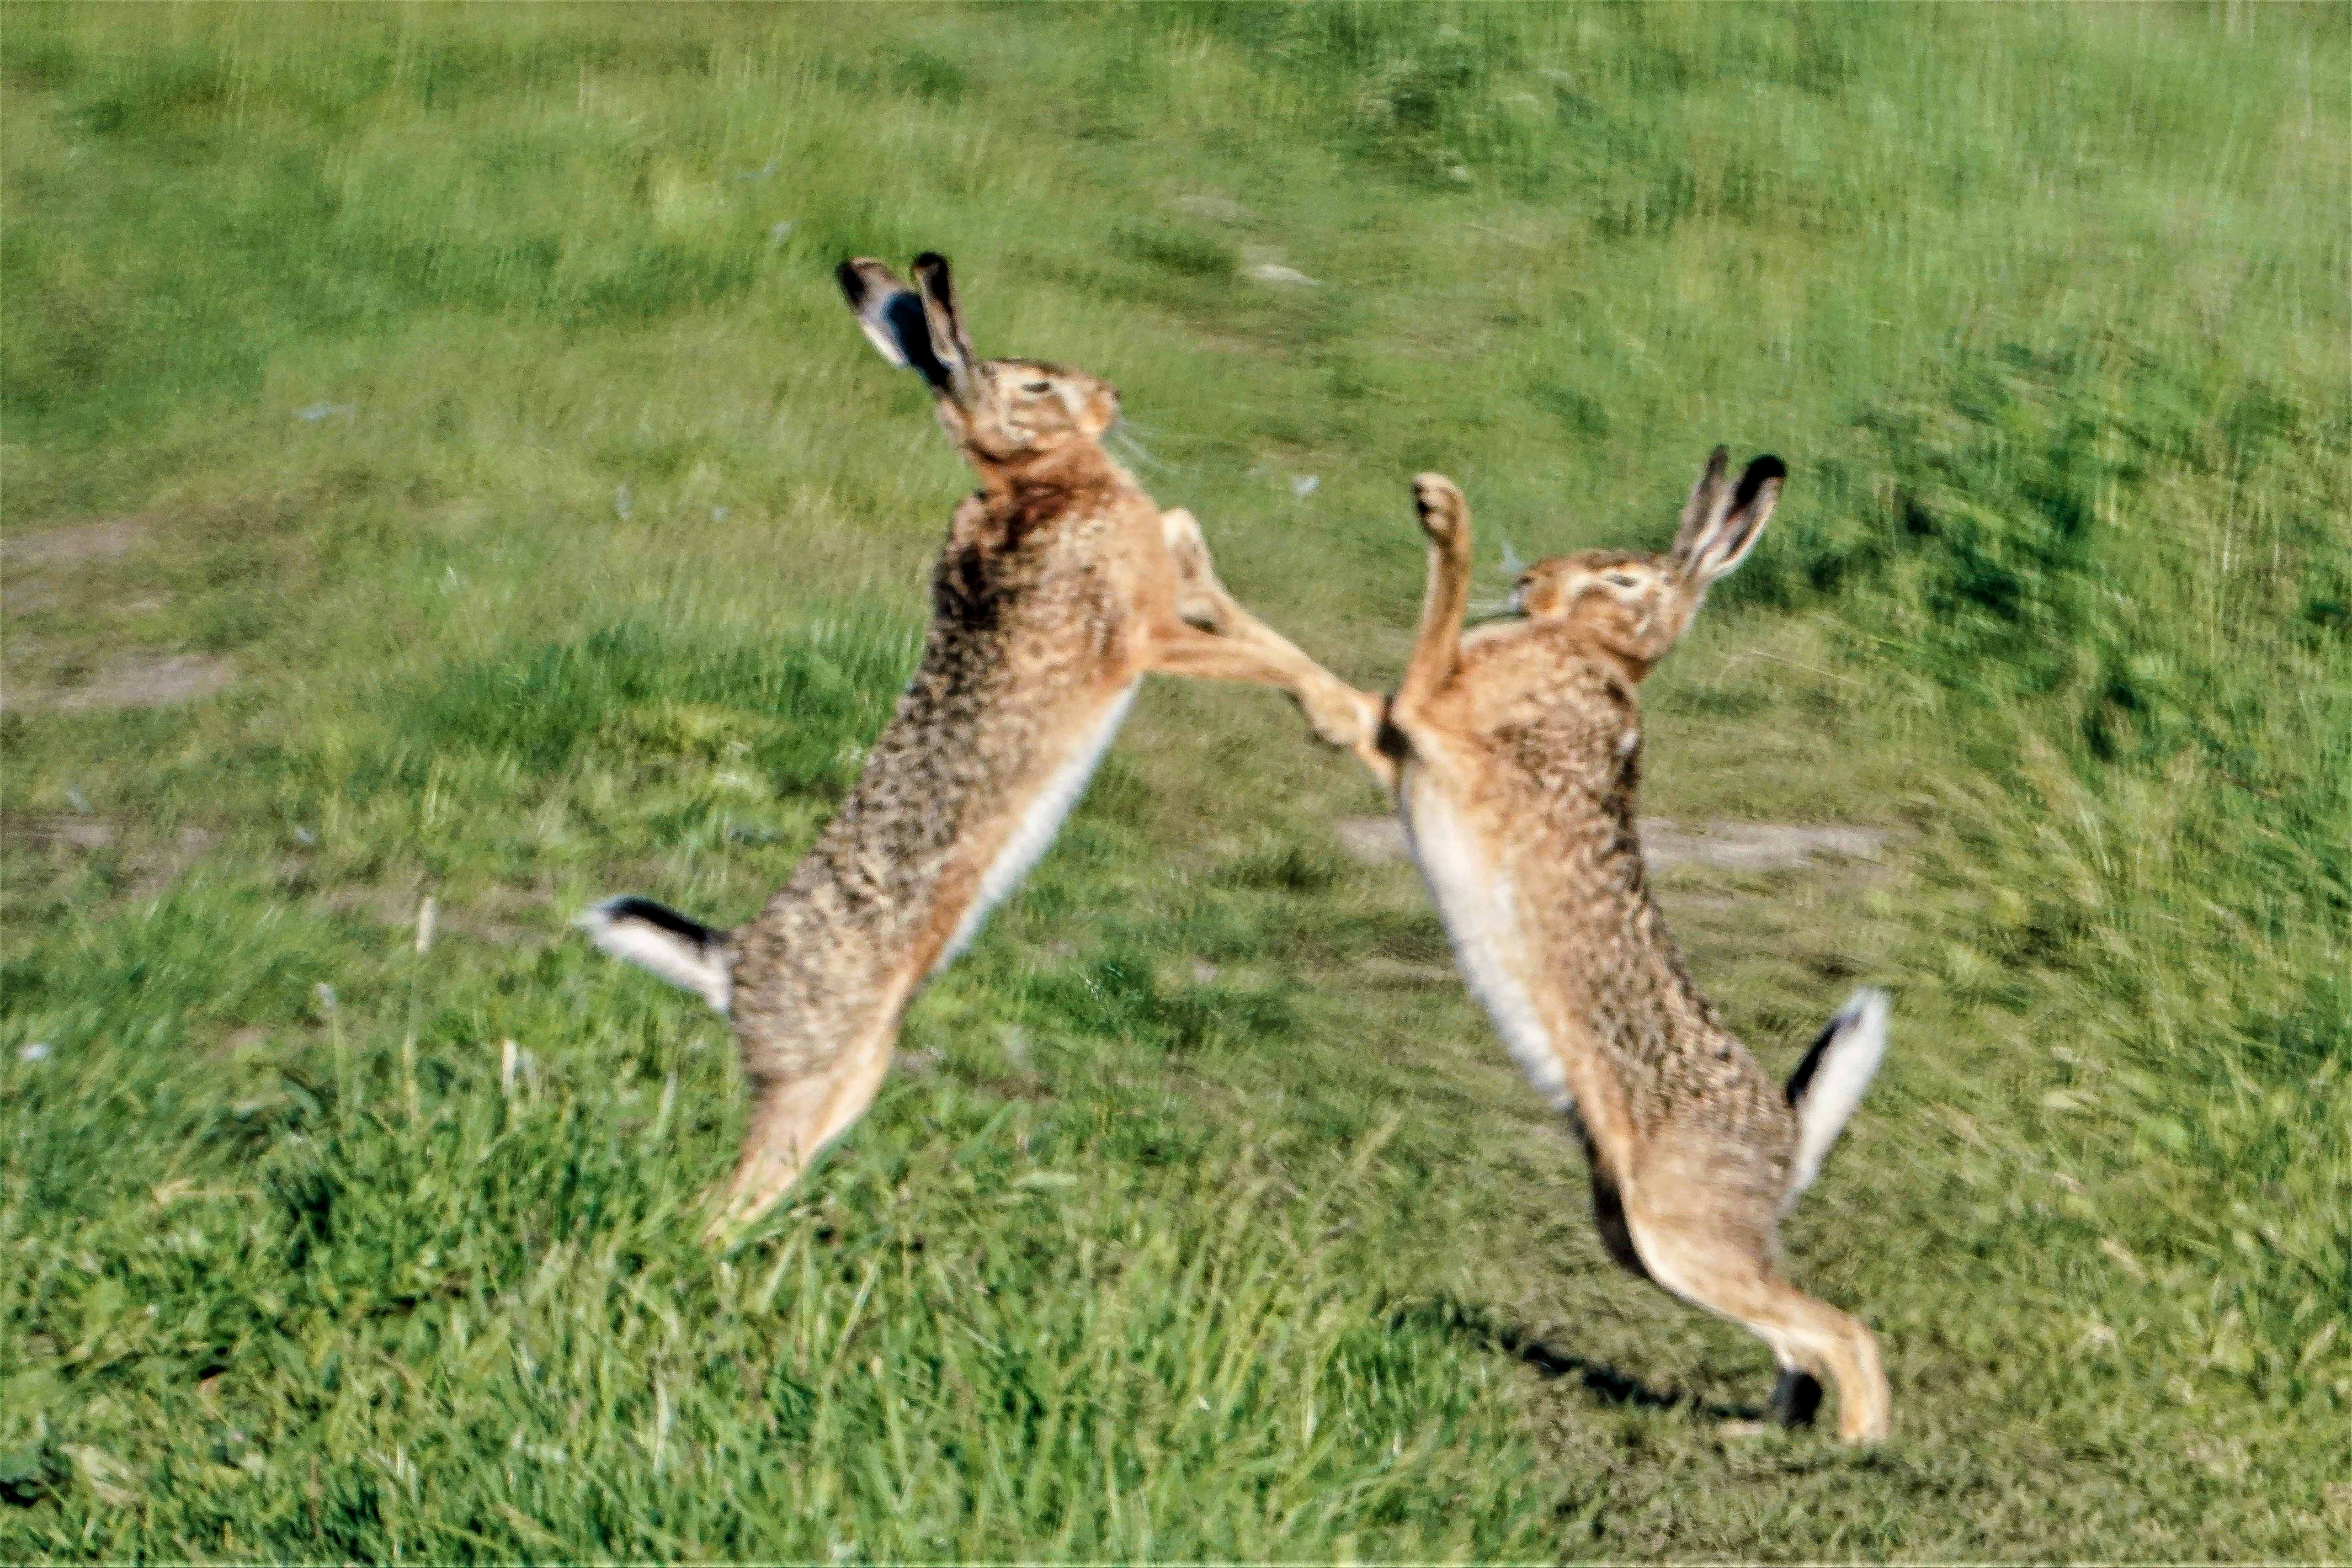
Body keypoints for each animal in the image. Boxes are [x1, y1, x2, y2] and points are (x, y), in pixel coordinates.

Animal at [582, 253, 1373, 1242]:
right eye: (1033, 385)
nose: (1111, 395)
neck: (1027, 480)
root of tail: (731, 967)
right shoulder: (1139, 638)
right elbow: (1257, 655)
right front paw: (1342, 720)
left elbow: (1231, 596)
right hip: (824, 1076)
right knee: (731, 1195)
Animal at [1312, 454, 1893, 1442]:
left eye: (1622, 580)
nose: (1530, 583)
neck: (1598, 660)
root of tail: (1788, 1141)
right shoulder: (1405, 743)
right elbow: (1357, 699)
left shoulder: (1434, 722)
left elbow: (1423, 643)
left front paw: (1444, 513)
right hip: (1641, 1238)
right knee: (1796, 1333)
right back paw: (1762, 1430)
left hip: (1679, 1231)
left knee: (1844, 1332)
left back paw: (1856, 1448)